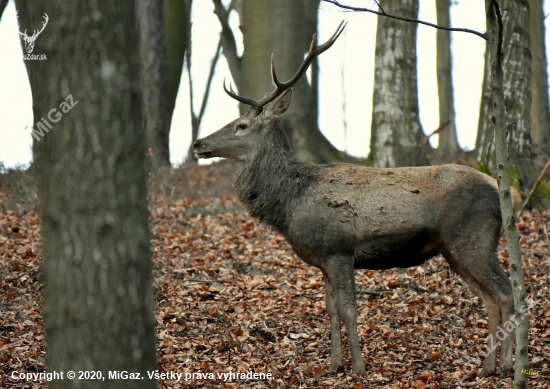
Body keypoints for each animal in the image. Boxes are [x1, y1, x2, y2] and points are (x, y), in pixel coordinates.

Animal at [193, 22, 516, 376]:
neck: (290, 203)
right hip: (454, 250)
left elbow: (349, 309)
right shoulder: (323, 258)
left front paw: (359, 367)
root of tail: (501, 191)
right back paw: (488, 368)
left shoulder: (338, 248)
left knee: (506, 294)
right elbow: (330, 309)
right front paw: (334, 364)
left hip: (472, 239)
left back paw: (506, 366)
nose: (198, 143)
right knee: (490, 299)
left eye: (241, 125)